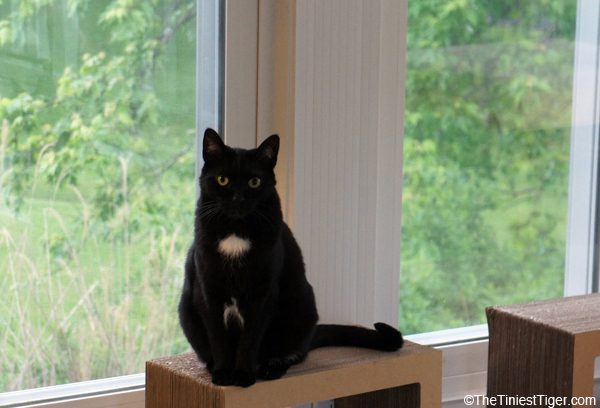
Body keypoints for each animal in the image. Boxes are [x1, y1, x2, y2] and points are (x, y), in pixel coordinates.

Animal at [178, 129, 404, 388]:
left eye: (254, 182)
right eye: (222, 180)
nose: (238, 200)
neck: (235, 231)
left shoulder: (263, 293)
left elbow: (250, 338)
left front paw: (243, 376)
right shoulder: (208, 290)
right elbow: (218, 337)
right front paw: (224, 375)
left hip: (301, 305)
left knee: (293, 352)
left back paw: (270, 368)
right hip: (186, 312)